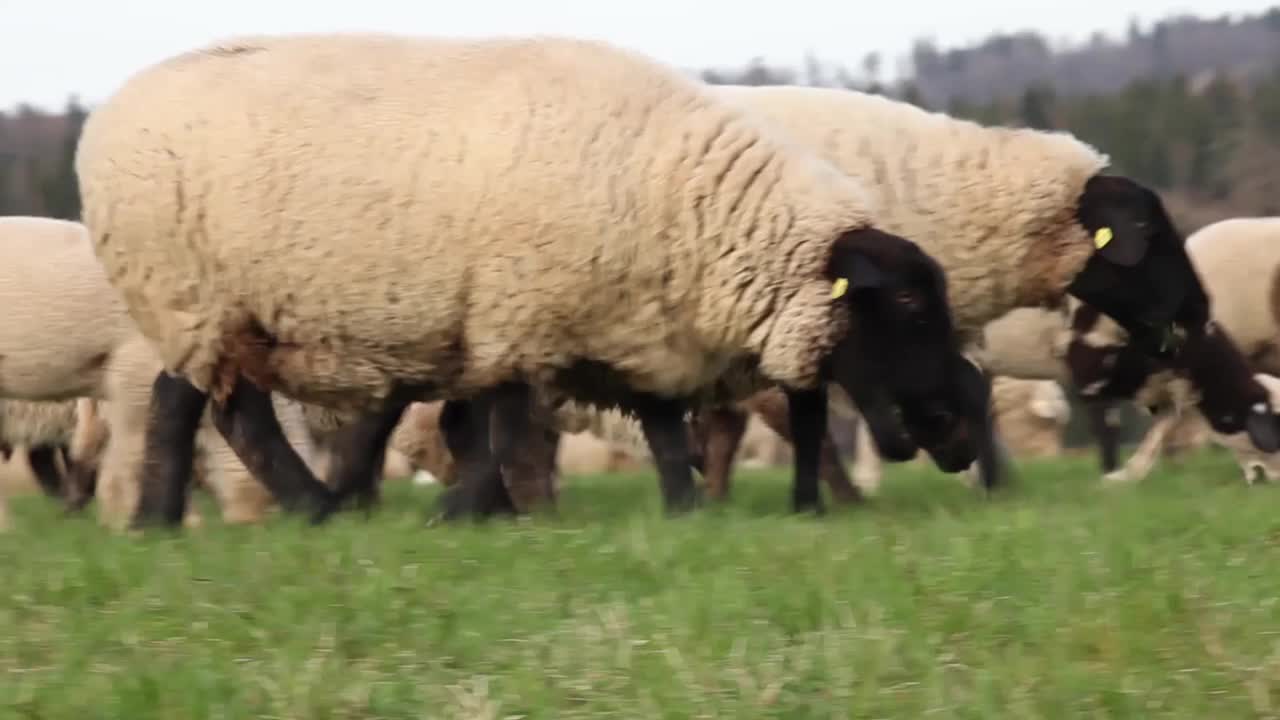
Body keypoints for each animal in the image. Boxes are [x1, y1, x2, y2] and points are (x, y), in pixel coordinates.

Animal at [74, 30, 983, 520]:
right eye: (908, 299)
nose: (955, 436)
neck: (686, 204)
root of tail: (108, 112)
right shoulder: (520, 316)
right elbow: (505, 433)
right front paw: (478, 515)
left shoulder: (629, 325)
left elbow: (662, 429)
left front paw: (684, 513)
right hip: (192, 298)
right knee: (197, 410)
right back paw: (238, 514)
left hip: (229, 315)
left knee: (215, 411)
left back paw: (260, 513)